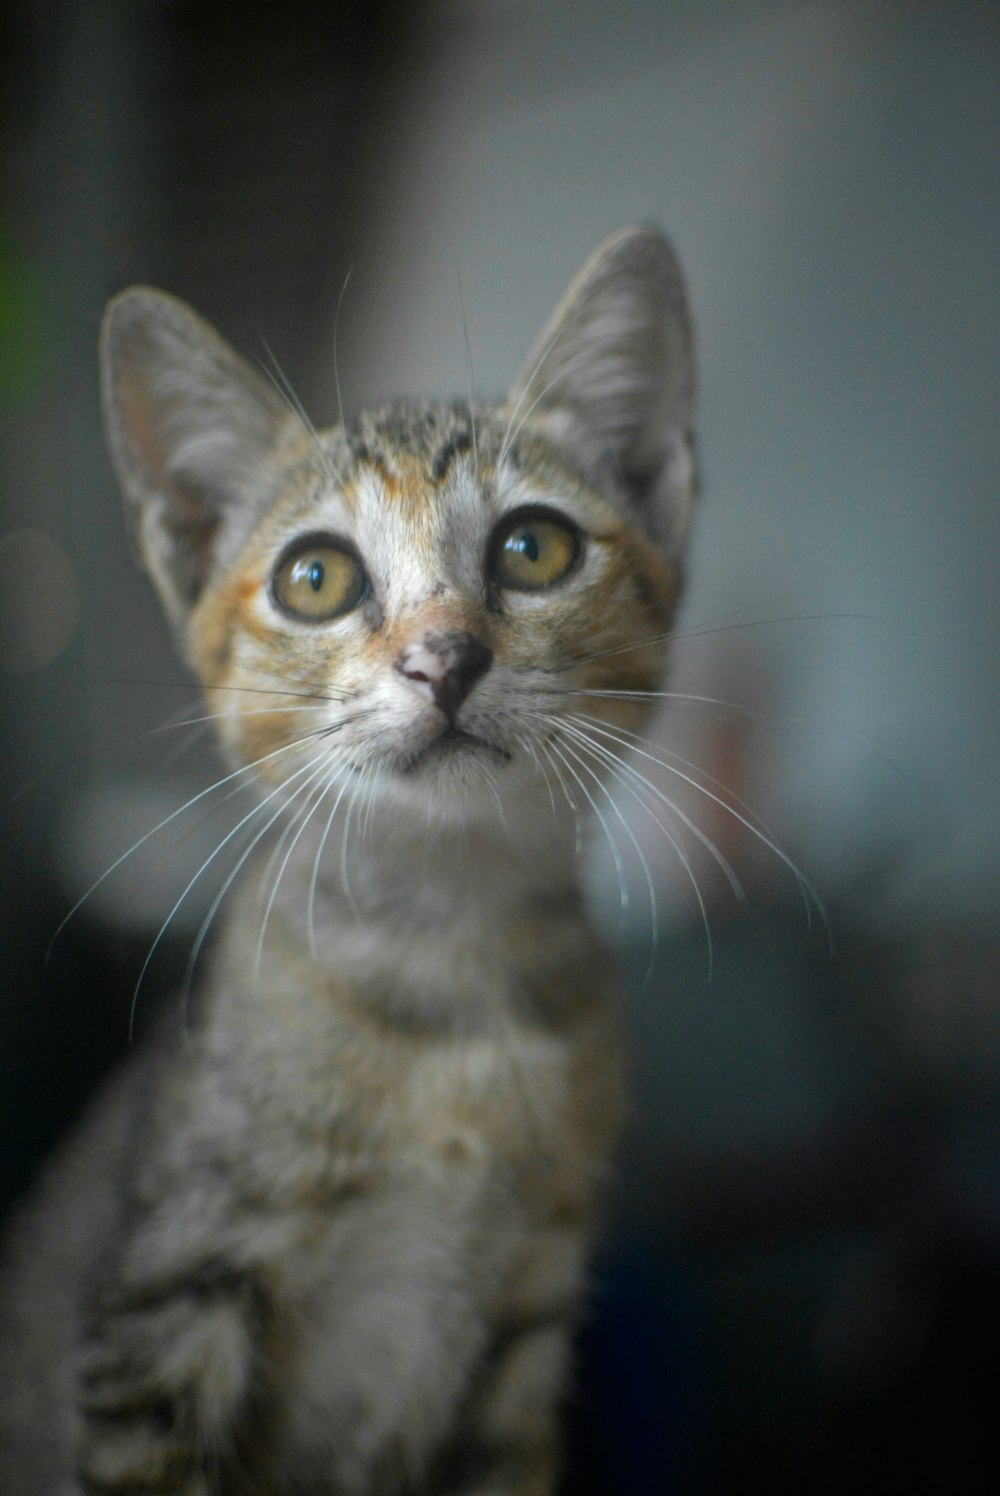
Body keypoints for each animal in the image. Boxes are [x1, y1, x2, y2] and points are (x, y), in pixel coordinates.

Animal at [0, 224, 694, 1496]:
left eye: (534, 547)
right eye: (314, 576)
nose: (444, 656)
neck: (451, 965)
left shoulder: (522, 1335)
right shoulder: (171, 1303)